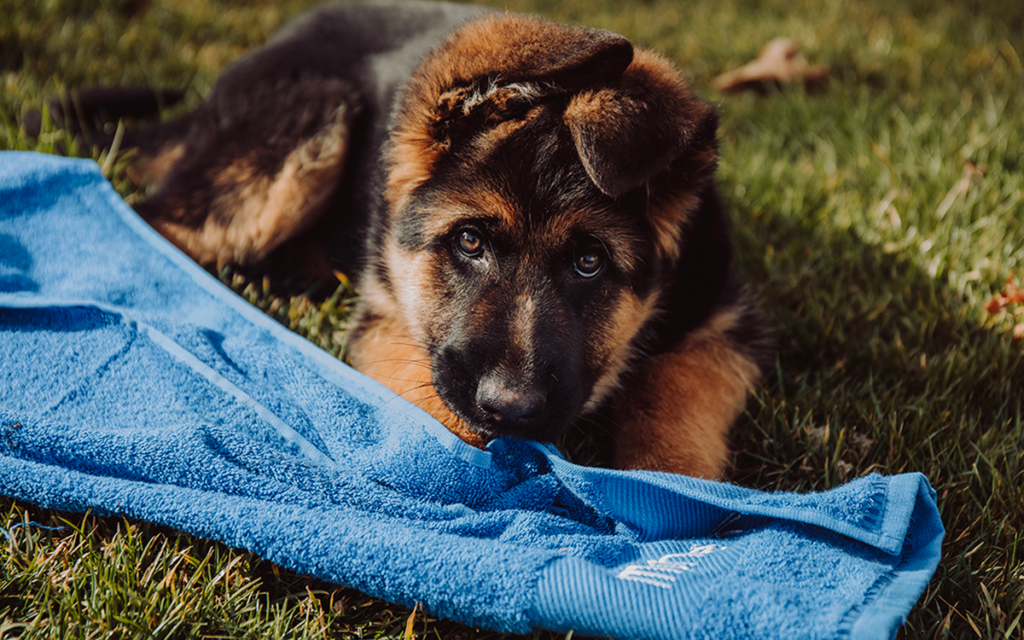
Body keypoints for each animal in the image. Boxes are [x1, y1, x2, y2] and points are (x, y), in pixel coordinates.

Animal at [58, 0, 770, 477]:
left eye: (590, 263)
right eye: (470, 243)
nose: (510, 408)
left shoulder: (721, 328)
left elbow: (674, 411)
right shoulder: (390, 314)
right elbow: (438, 413)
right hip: (303, 132)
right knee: (156, 223)